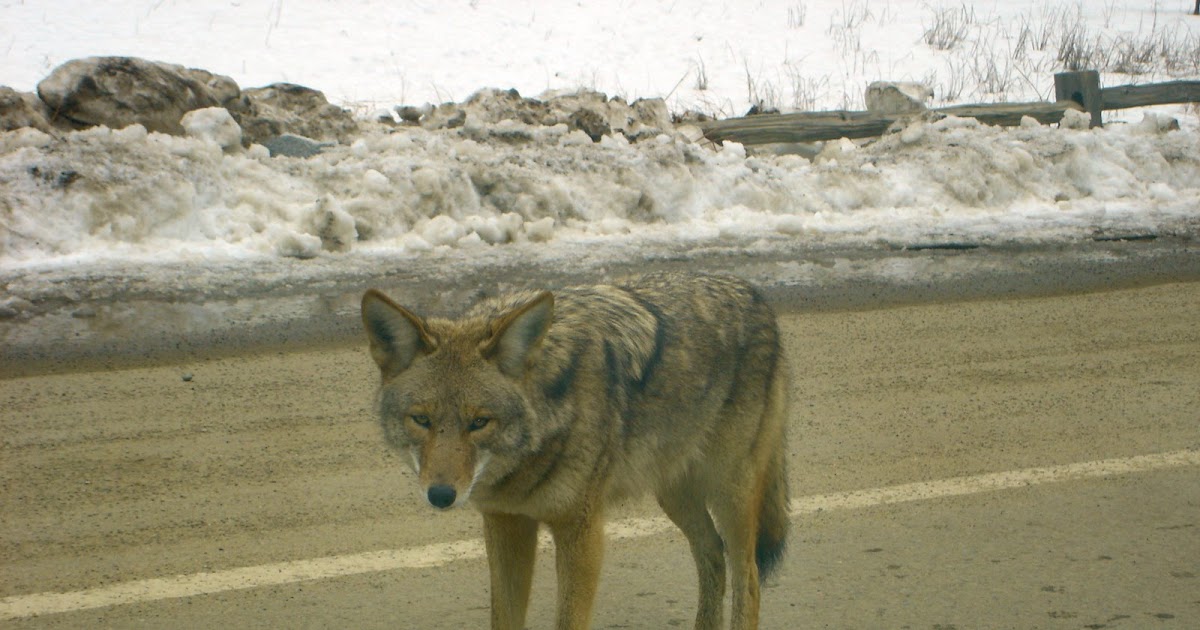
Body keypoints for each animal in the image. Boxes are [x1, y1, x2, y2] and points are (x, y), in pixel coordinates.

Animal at [361, 272, 789, 630]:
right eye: (421, 419)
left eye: (480, 422)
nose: (441, 496)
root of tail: (753, 293)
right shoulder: (505, 523)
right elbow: (504, 618)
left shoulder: (581, 533)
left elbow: (569, 620)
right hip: (673, 494)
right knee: (713, 553)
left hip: (729, 495)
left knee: (748, 576)